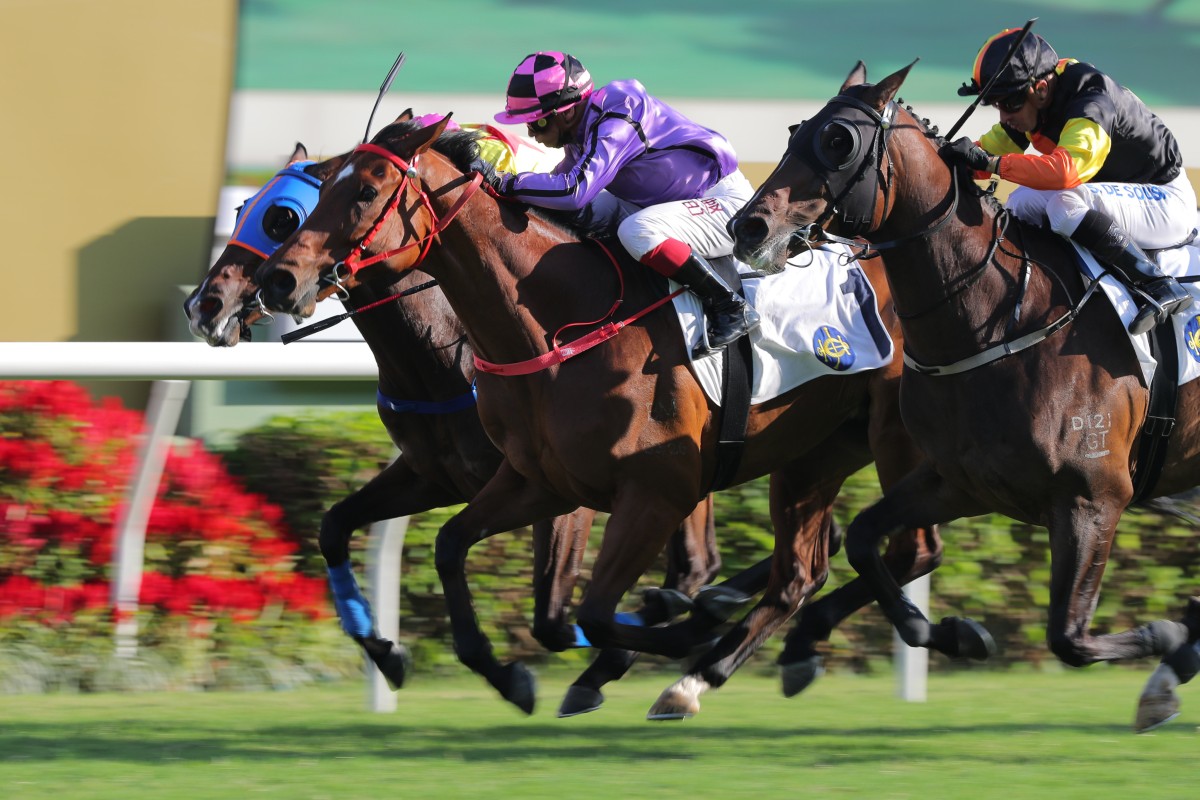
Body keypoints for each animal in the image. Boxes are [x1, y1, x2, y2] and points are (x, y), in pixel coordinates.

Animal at [183, 140, 739, 714]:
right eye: (240, 210)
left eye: (282, 217)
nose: (204, 306)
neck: (451, 352)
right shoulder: (437, 475)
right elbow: (336, 526)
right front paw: (387, 652)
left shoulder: (570, 491)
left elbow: (552, 615)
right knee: (697, 562)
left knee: (688, 566)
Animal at [253, 117, 940, 719]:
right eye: (321, 189)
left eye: (365, 191)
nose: (278, 279)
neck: (557, 329)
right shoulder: (539, 481)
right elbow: (451, 548)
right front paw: (501, 674)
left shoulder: (654, 492)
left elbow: (587, 613)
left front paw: (676, 628)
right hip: (817, 452)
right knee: (801, 573)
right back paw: (710, 670)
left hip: (898, 438)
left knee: (907, 548)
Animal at [724, 62, 1200, 734]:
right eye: (797, 131)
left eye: (839, 141)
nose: (749, 227)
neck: (1001, 318)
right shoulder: (960, 479)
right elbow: (867, 538)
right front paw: (946, 632)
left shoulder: (1093, 498)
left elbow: (1070, 639)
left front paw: (1168, 643)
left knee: (1072, 197)